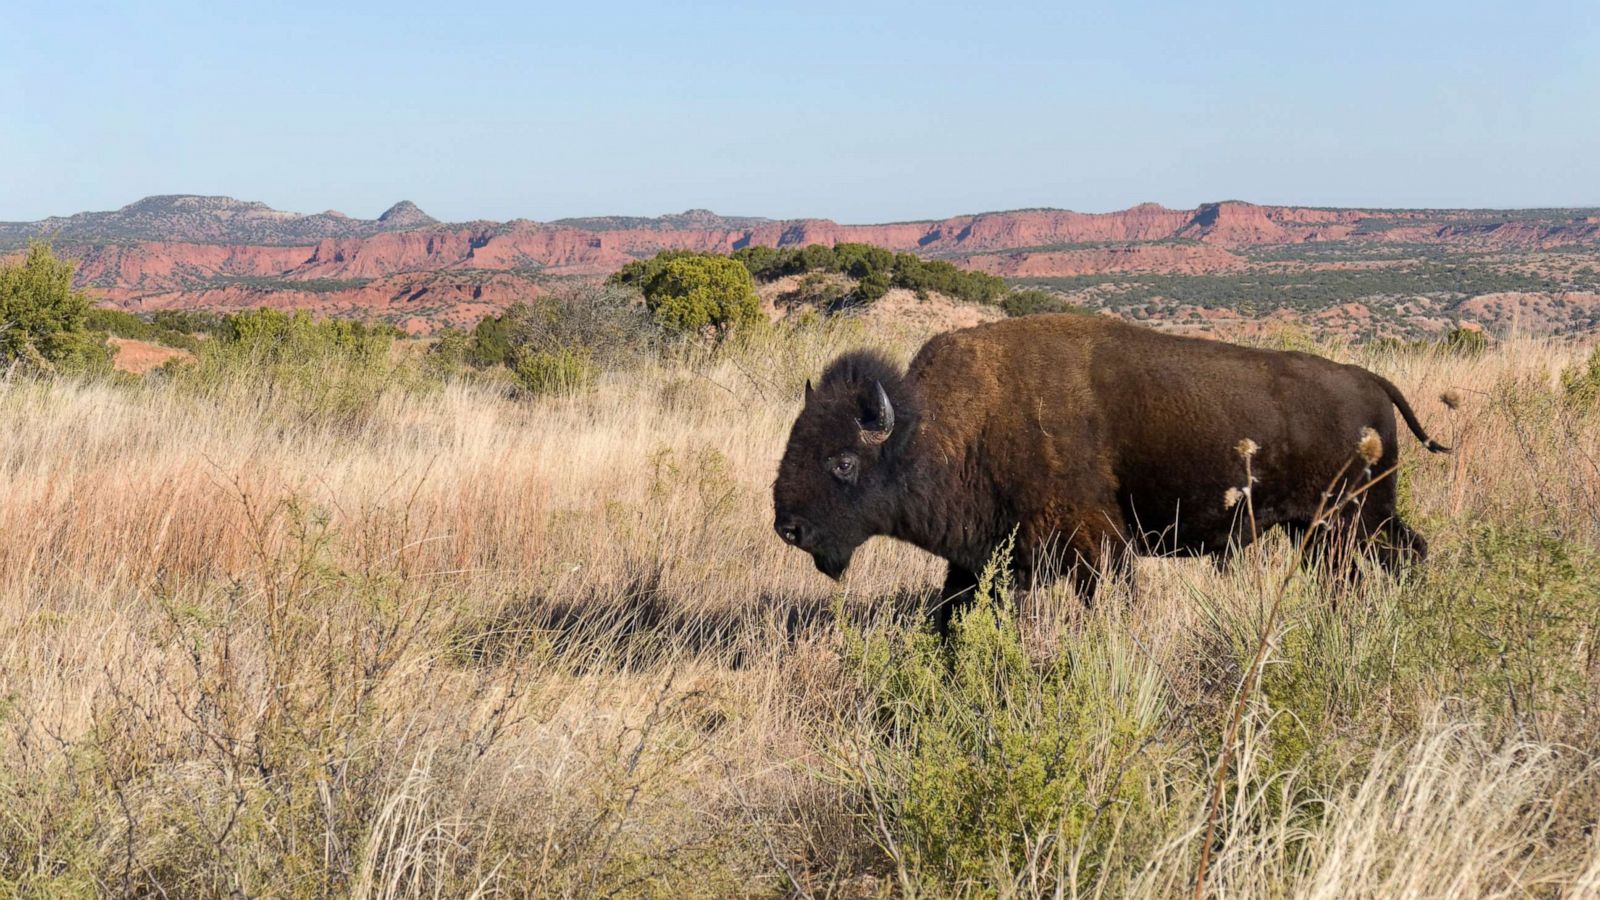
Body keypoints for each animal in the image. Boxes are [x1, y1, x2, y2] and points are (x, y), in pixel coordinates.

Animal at [774, 312, 1452, 634]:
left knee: (1393, 559)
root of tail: (1369, 379)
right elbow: (952, 614)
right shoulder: (979, 559)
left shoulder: (1097, 547)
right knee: (1395, 558)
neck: (945, 425)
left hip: (1350, 521)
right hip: (1328, 529)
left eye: (842, 461)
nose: (789, 528)